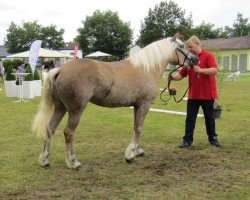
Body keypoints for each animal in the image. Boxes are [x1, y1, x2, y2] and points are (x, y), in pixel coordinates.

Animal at [32, 33, 197, 168]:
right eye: (182, 46)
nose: (195, 59)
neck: (146, 68)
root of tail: (61, 69)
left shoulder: (137, 106)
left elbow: (136, 128)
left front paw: (137, 150)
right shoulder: (144, 104)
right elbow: (139, 128)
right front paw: (130, 155)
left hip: (61, 108)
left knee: (50, 129)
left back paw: (45, 160)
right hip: (75, 110)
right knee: (68, 132)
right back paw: (73, 162)